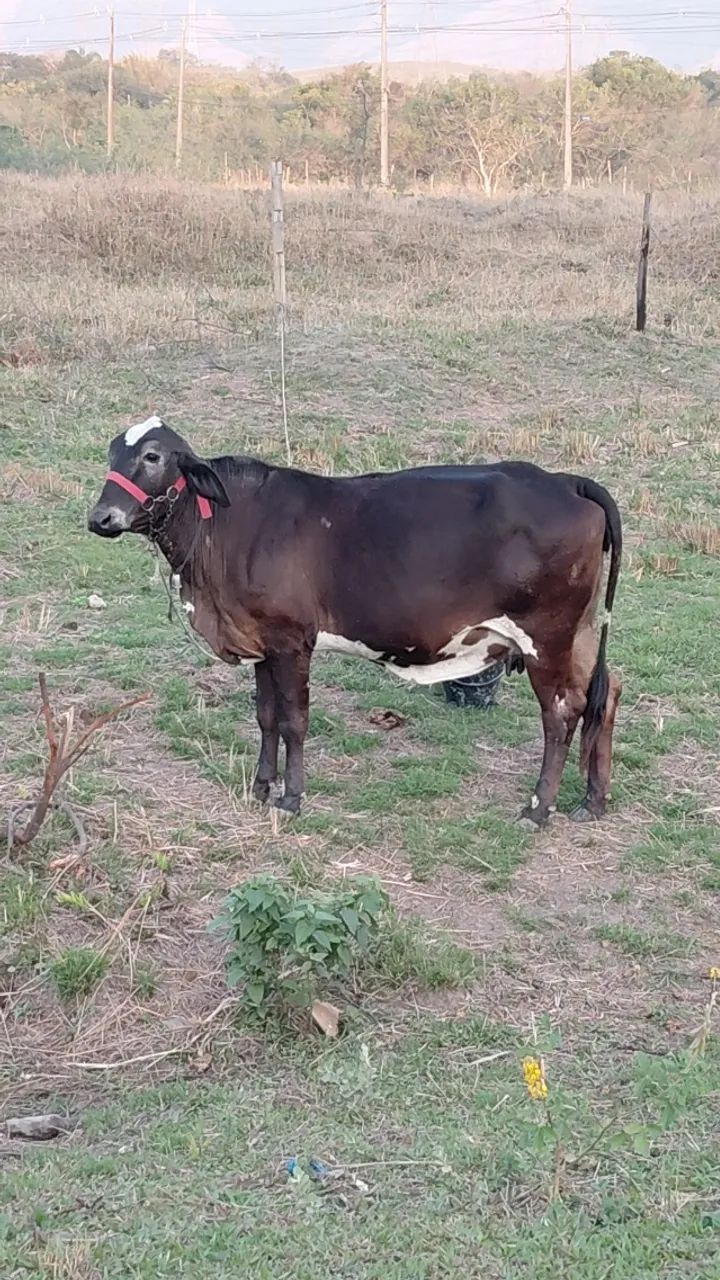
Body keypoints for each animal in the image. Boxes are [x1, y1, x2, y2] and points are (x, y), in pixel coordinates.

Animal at [88, 415, 622, 828]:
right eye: (113, 452)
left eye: (153, 456)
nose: (101, 518)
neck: (228, 526)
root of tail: (564, 480)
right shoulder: (260, 640)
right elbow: (265, 717)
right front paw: (261, 786)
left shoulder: (291, 641)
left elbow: (294, 721)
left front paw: (291, 797)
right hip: (582, 632)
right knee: (606, 694)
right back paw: (593, 800)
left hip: (546, 636)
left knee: (560, 713)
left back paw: (538, 808)